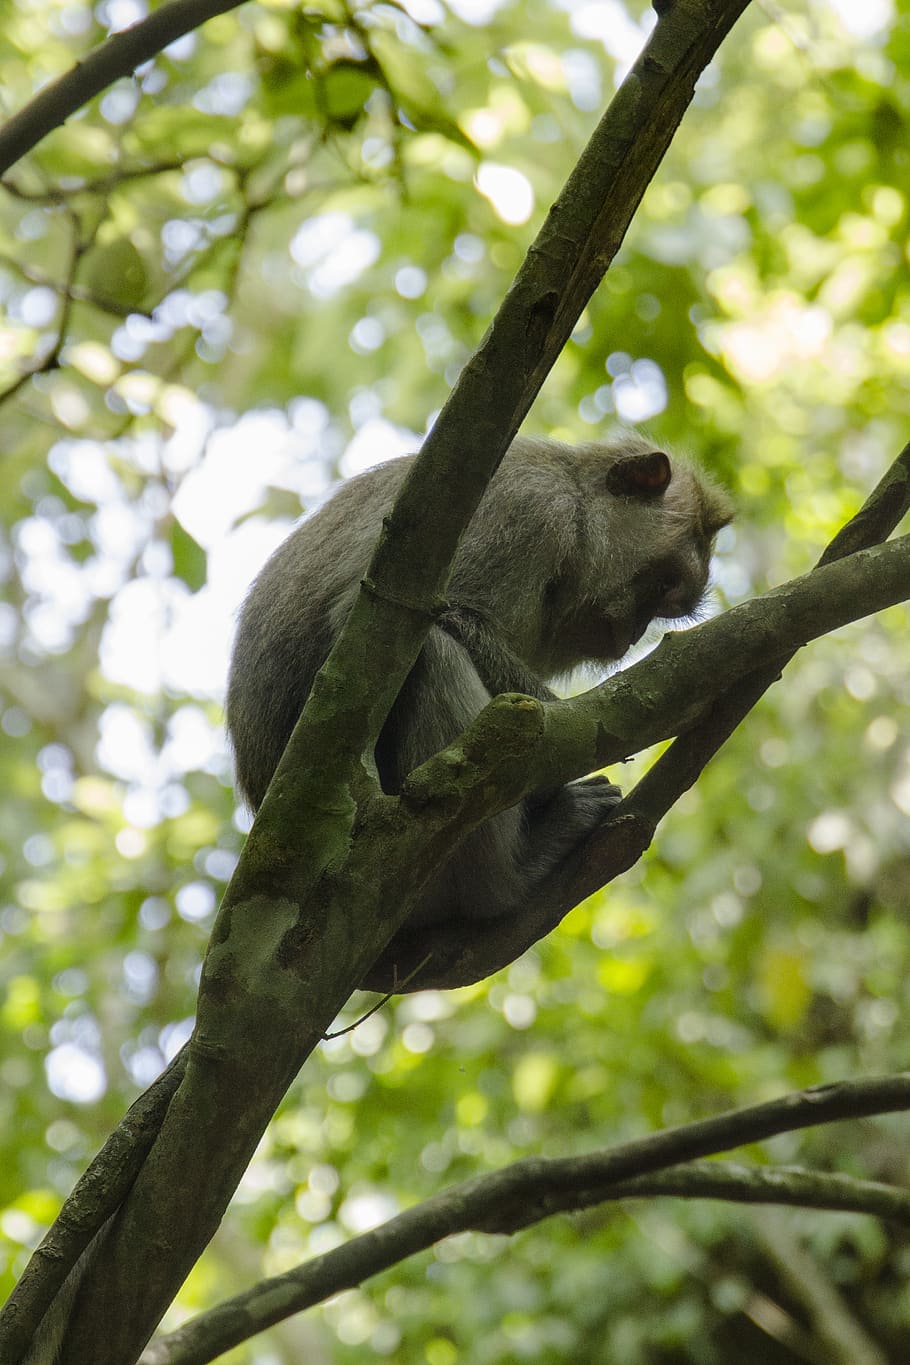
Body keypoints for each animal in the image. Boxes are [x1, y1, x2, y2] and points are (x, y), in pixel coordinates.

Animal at [226, 433, 732, 936]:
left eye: (666, 604)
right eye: (662, 585)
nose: (632, 633)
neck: (576, 503)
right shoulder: (526, 511)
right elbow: (388, 612)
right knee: (433, 652)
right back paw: (507, 876)